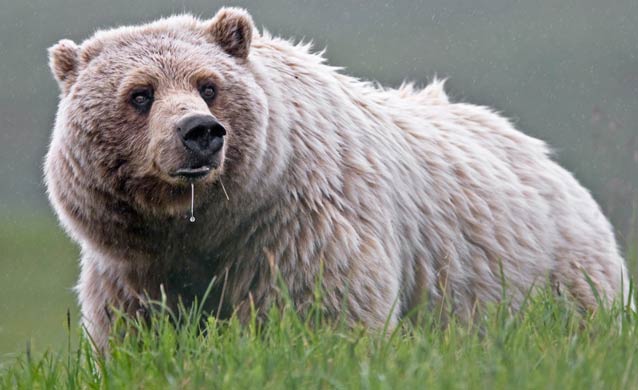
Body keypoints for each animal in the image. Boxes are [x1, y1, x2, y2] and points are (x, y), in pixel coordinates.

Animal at [47, 6, 632, 350]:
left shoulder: (297, 226)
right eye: (140, 94)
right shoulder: (137, 268)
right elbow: (140, 333)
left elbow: (322, 312)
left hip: (552, 276)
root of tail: (548, 159)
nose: (200, 132)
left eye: (208, 85)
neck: (208, 223)